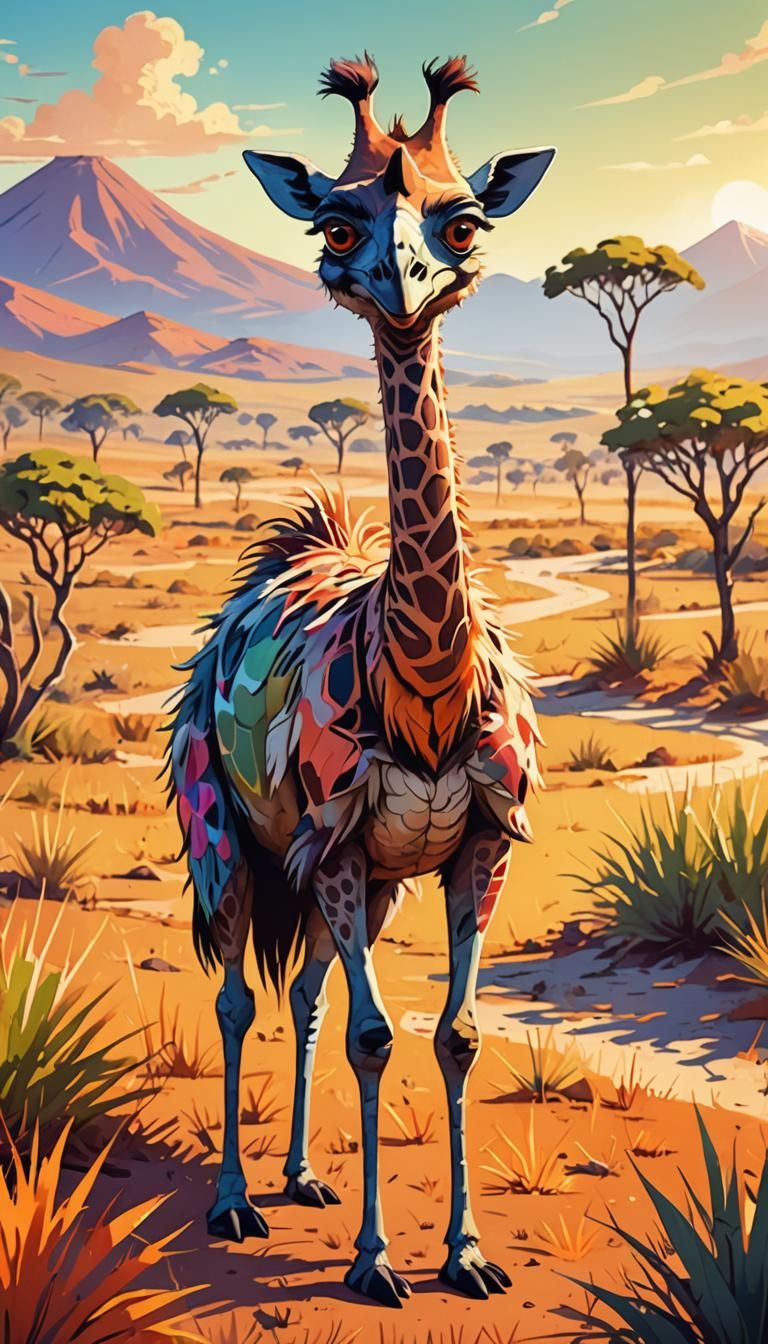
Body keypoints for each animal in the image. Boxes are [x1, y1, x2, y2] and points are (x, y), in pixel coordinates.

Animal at [169, 54, 554, 1309]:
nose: (404, 284)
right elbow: (377, 1037)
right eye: (337, 226)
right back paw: (236, 1200)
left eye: (463, 219)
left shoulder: (475, 842)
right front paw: (378, 1263)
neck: (423, 684)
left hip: (372, 877)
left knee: (302, 993)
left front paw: (467, 1253)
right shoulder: (326, 840)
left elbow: (454, 1035)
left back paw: (297, 1178)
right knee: (239, 992)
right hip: (224, 830)